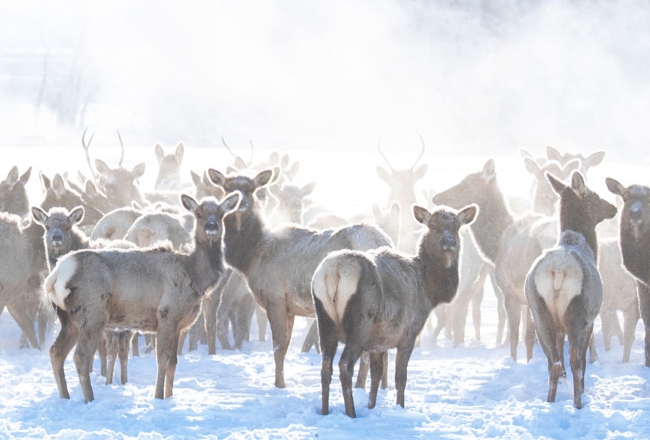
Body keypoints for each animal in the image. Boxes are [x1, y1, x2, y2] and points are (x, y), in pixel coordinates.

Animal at [42, 191, 241, 402]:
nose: (211, 226)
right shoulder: (167, 314)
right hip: (92, 313)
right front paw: (158, 396)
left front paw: (170, 396)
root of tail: (55, 276)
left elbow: (173, 363)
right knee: (80, 356)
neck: (196, 277)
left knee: (56, 352)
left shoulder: (180, 325)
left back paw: (65, 396)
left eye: (221, 214)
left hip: (68, 318)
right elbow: (162, 359)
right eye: (198, 213)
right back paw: (90, 398)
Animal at [207, 167, 393, 388]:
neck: (251, 256)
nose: (241, 201)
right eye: (227, 188)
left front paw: (280, 384)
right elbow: (285, 346)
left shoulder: (275, 297)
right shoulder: (290, 307)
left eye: (252, 189)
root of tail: (383, 241)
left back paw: (360, 387)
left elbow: (278, 347)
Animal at [313, 203, 477, 417]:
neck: (429, 289)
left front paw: (371, 406)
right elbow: (400, 377)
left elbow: (376, 374)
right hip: (359, 324)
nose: (449, 241)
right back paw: (352, 413)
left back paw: (325, 411)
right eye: (432, 225)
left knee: (325, 368)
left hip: (324, 321)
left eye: (457, 226)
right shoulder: (409, 331)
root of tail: (335, 272)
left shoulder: (378, 341)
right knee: (345, 365)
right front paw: (400, 406)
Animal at [525, 171, 616, 409]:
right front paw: (582, 390)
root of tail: (558, 272)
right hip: (578, 310)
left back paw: (550, 401)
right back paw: (577, 402)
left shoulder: (557, 325)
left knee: (554, 362)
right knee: (575, 360)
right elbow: (583, 358)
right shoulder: (591, 318)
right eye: (595, 196)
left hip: (539, 311)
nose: (613, 207)